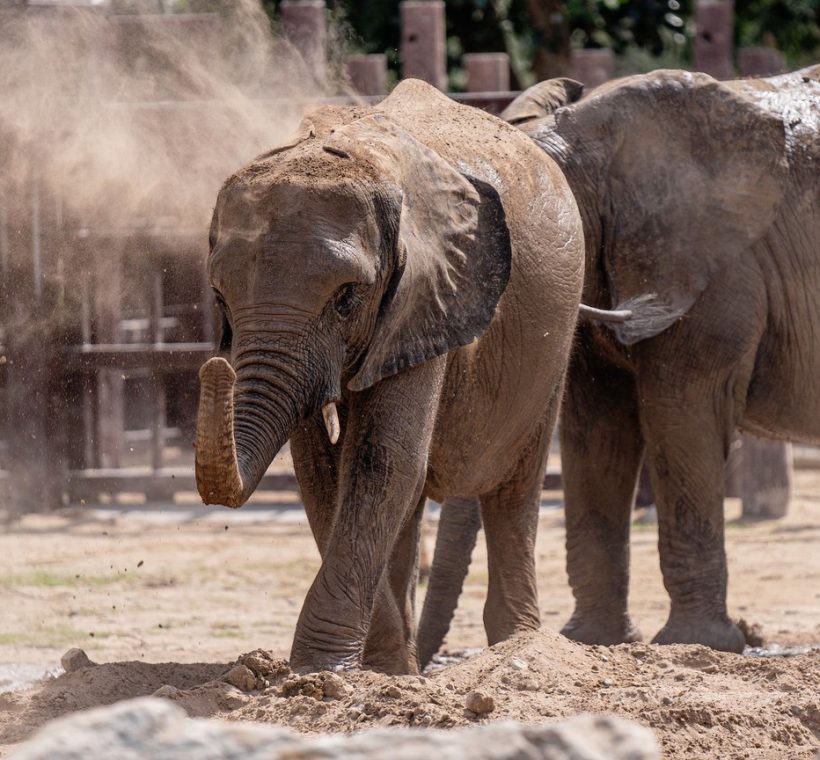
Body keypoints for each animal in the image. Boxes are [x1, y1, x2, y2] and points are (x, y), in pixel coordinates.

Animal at [193, 78, 586, 674]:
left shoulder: (426, 296)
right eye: (219, 297)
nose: (214, 369)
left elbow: (382, 457)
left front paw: (322, 671)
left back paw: (518, 647)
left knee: (516, 482)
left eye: (347, 297)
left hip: (556, 330)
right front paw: (381, 672)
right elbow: (322, 469)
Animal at [417, 65, 820, 662]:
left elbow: (682, 416)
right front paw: (591, 642)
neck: (587, 145)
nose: (416, 667)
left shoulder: (715, 273)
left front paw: (696, 644)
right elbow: (597, 428)